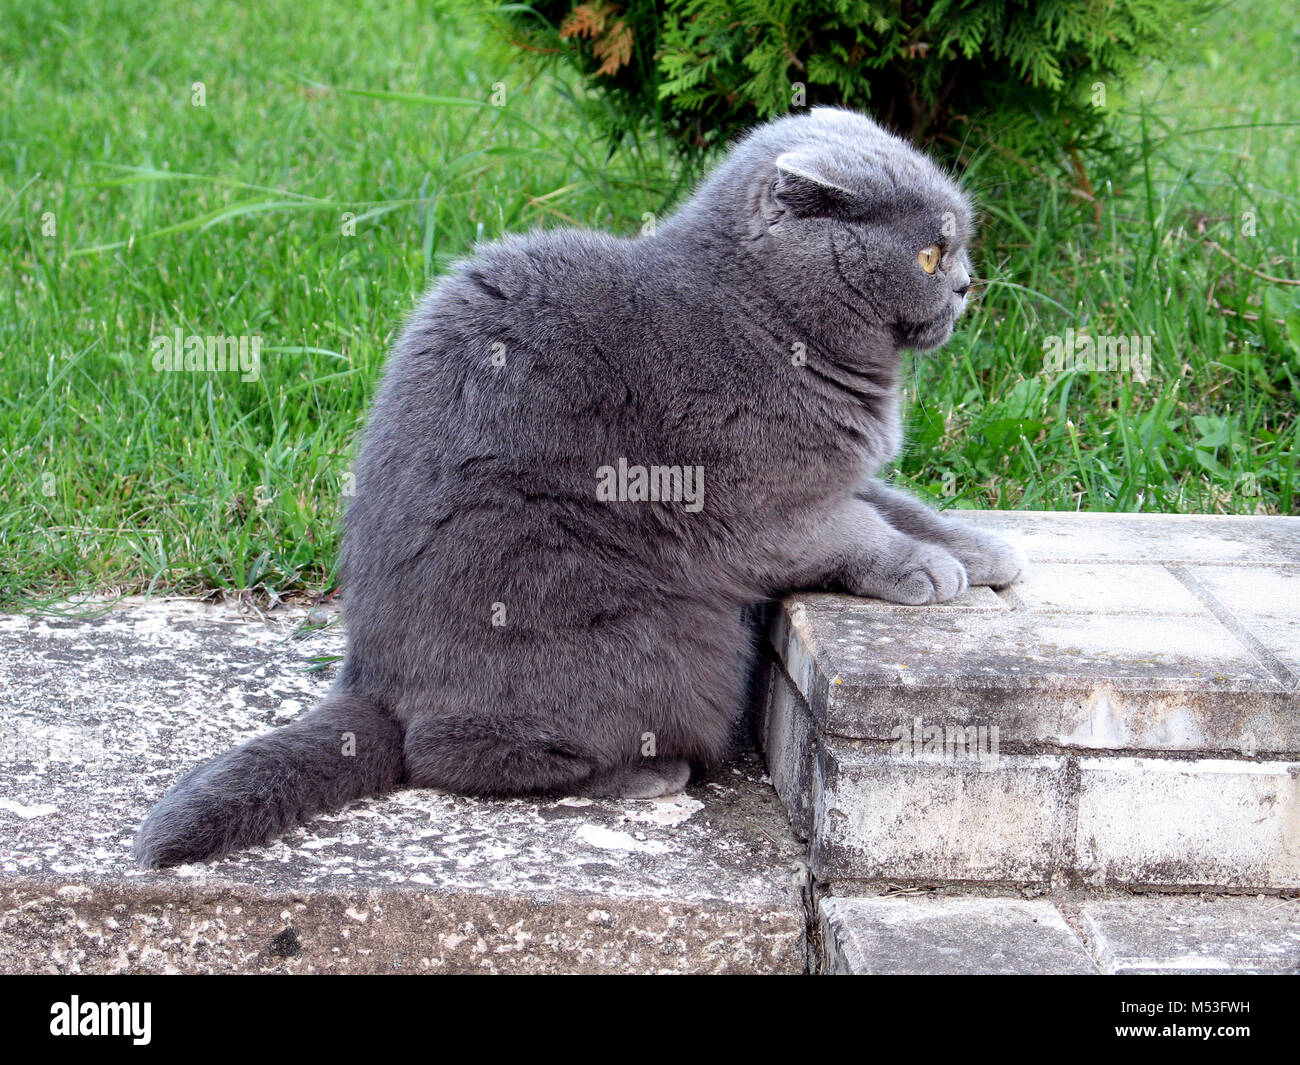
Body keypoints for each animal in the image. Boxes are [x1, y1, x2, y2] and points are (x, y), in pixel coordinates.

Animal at [131, 105, 1024, 868]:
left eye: (956, 248)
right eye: (930, 253)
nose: (966, 286)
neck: (772, 319)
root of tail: (373, 686)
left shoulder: (835, 479)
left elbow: (899, 504)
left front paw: (984, 551)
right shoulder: (764, 509)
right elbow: (861, 533)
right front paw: (923, 569)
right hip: (665, 648)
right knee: (447, 751)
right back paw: (642, 773)